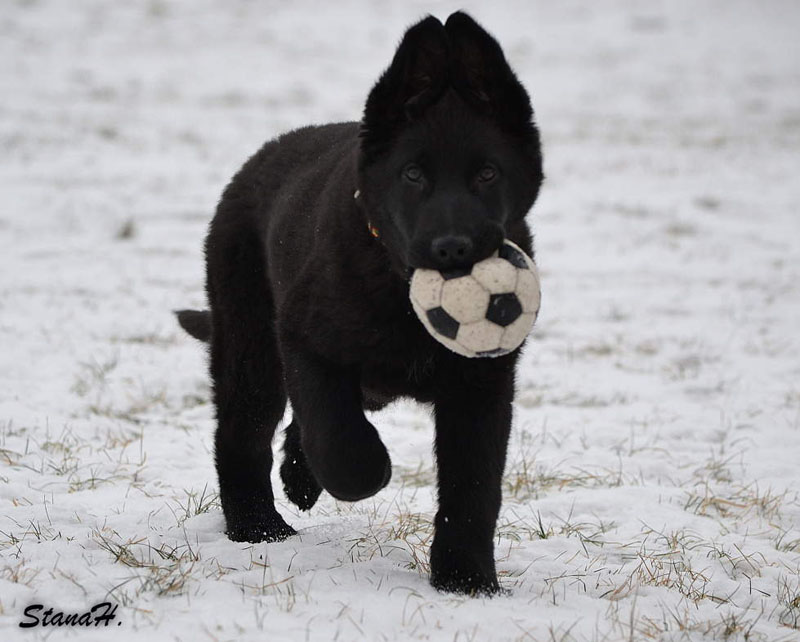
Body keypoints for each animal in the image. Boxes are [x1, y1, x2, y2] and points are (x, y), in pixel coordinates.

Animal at [177, 12, 544, 592]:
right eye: (413, 174)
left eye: (487, 174)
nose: (453, 248)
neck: (402, 294)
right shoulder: (303, 340)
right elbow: (342, 443)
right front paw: (366, 473)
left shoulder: (482, 383)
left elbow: (473, 485)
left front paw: (467, 581)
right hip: (251, 342)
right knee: (242, 432)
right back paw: (258, 528)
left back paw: (296, 481)